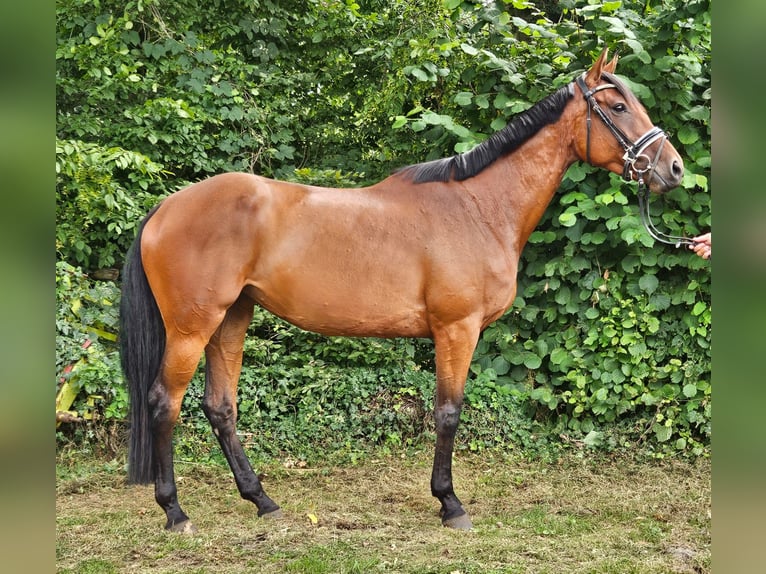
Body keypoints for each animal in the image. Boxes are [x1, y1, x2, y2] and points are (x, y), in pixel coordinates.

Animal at [120, 48, 684, 532]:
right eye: (617, 106)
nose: (673, 168)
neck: (478, 207)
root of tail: (165, 208)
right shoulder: (456, 330)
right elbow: (448, 412)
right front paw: (450, 503)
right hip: (192, 327)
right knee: (164, 403)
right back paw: (175, 512)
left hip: (231, 319)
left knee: (221, 407)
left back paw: (262, 500)